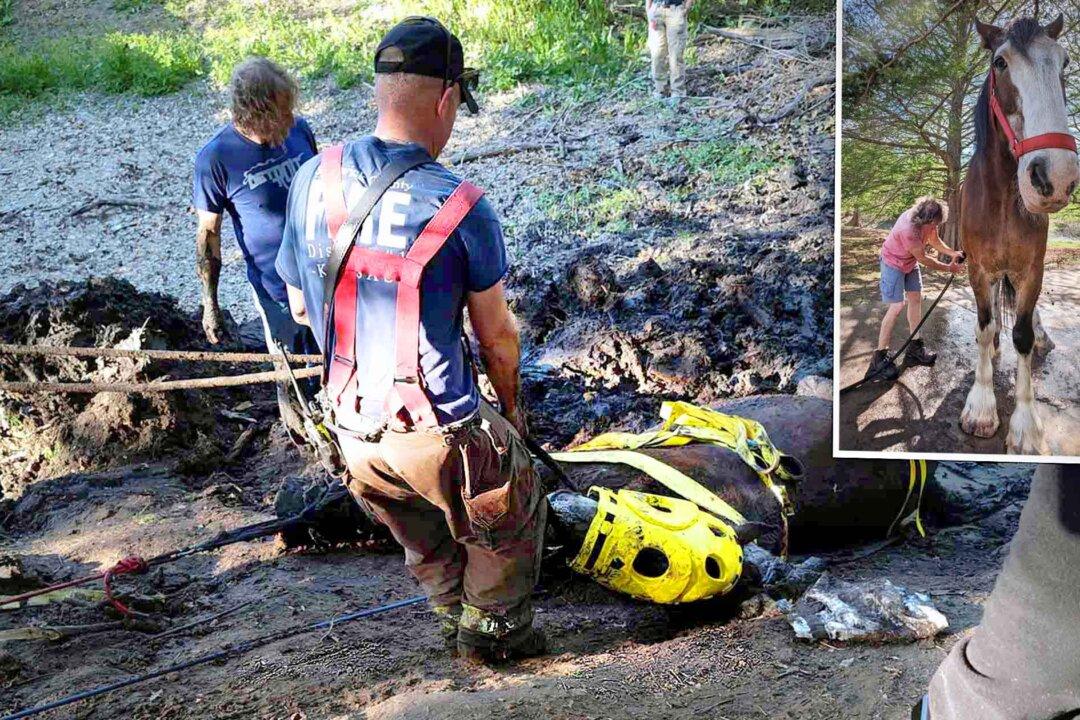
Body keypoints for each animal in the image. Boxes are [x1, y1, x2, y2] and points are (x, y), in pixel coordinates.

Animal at [959, 15, 1079, 454]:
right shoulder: (978, 269)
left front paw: (1026, 426)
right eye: (1000, 63)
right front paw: (981, 407)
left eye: (1064, 62)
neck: (1002, 200)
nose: (1055, 176)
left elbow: (1023, 335)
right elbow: (983, 326)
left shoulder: (1032, 270)